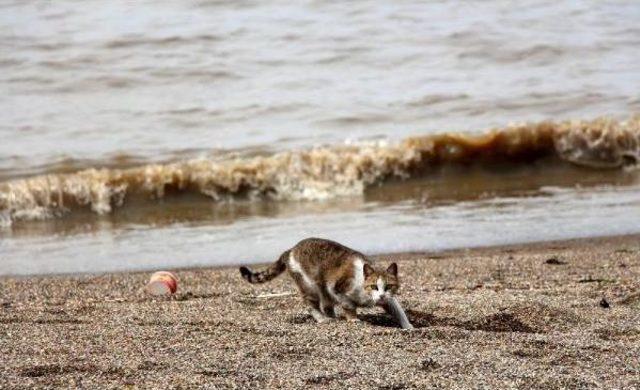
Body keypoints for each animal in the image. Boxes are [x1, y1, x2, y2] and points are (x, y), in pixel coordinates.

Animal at [239, 238, 400, 322]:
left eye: (389, 286)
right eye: (373, 286)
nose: (381, 295)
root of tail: (290, 250)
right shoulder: (336, 287)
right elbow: (348, 304)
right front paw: (353, 318)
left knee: (326, 305)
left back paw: (332, 316)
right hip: (310, 285)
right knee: (311, 304)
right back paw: (323, 318)